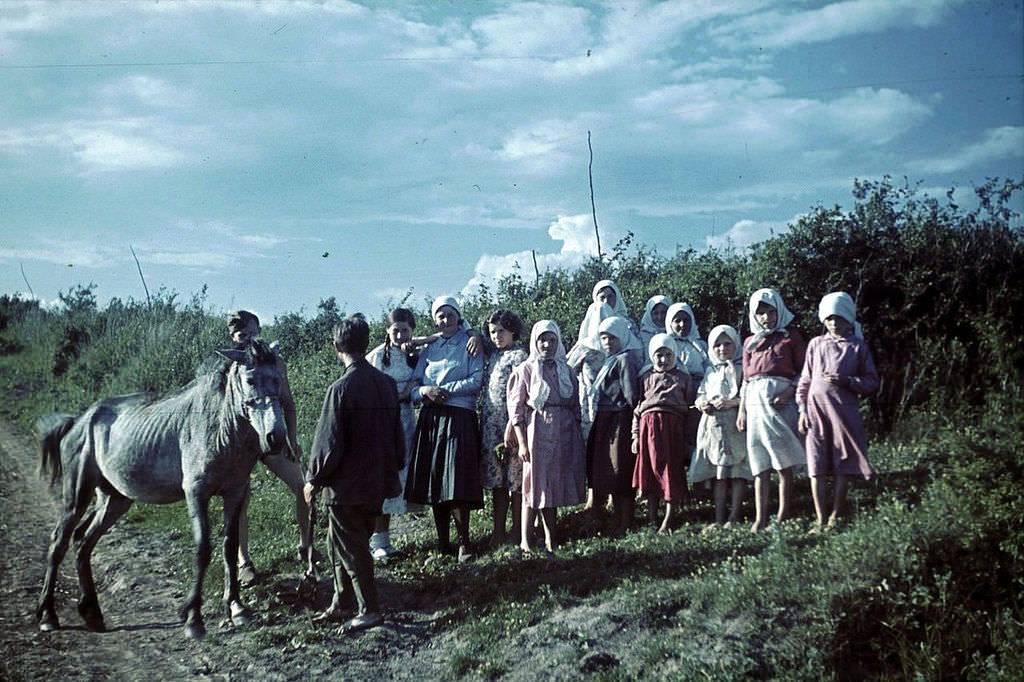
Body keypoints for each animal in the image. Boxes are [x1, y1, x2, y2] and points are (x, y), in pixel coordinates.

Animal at [35, 337, 286, 638]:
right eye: (250, 379)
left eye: (279, 378)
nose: (276, 437)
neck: (218, 426)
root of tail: (78, 421)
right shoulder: (196, 493)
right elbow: (203, 550)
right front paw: (193, 618)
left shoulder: (235, 492)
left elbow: (229, 547)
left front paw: (237, 608)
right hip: (77, 496)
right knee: (58, 542)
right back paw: (48, 615)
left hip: (115, 500)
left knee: (83, 541)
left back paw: (92, 613)